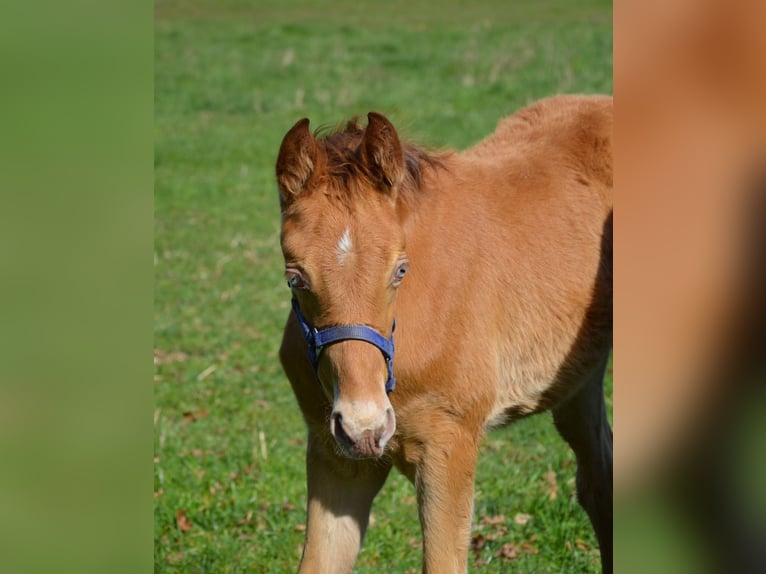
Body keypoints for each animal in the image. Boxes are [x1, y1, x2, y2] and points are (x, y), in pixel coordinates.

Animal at [276, 94, 613, 573]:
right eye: (295, 278)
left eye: (399, 270)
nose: (365, 427)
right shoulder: (335, 457)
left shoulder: (449, 446)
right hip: (577, 379)